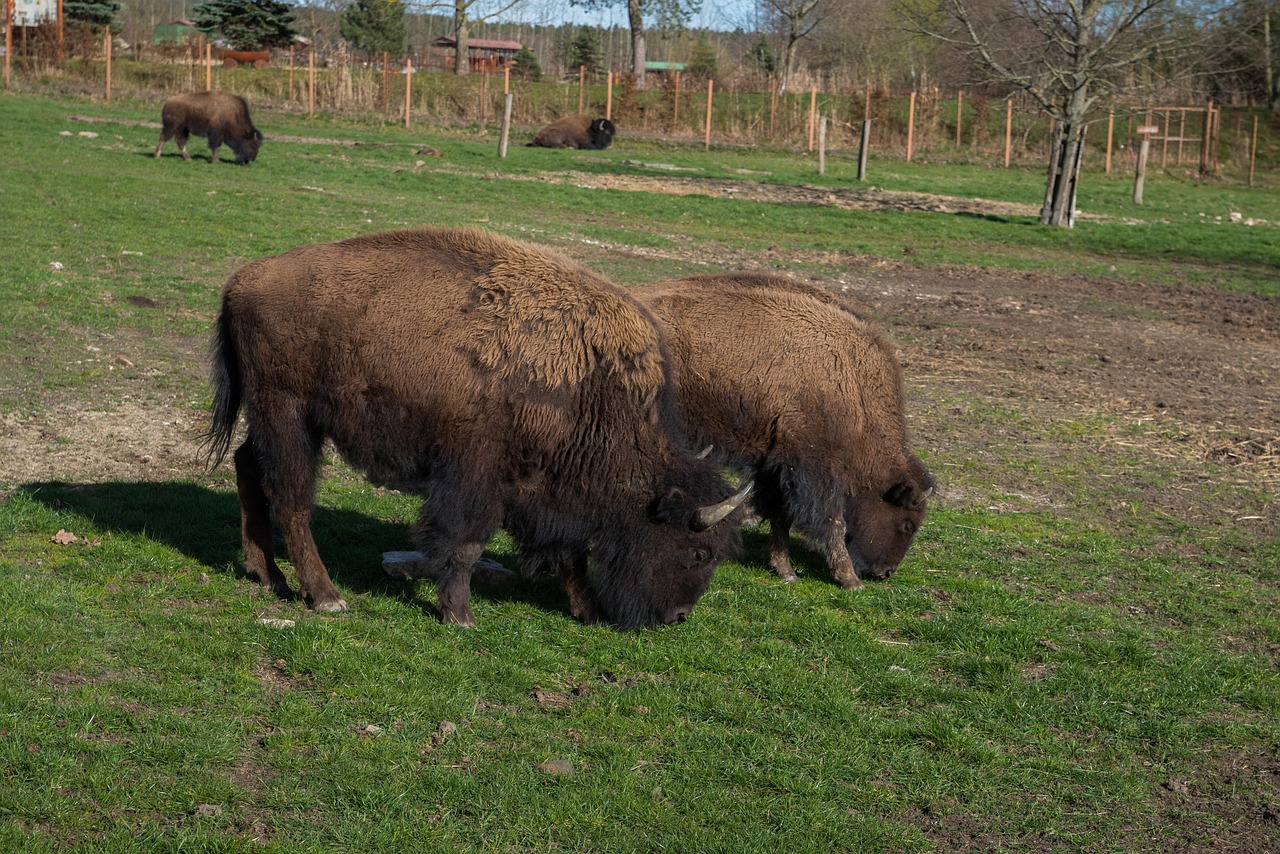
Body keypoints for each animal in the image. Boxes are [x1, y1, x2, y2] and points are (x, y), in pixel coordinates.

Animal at [203, 227, 752, 629]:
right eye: (698, 551)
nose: (678, 616)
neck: (590, 384)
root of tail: (243, 280)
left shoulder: (547, 490)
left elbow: (569, 551)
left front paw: (588, 610)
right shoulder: (478, 477)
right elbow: (466, 544)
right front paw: (460, 615)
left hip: (276, 418)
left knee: (248, 467)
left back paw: (268, 576)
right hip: (289, 415)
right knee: (291, 498)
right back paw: (325, 596)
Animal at [634, 273, 934, 588]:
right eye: (907, 524)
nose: (885, 572)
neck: (852, 382)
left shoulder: (773, 463)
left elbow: (781, 516)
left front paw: (786, 571)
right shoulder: (814, 468)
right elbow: (832, 521)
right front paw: (849, 579)